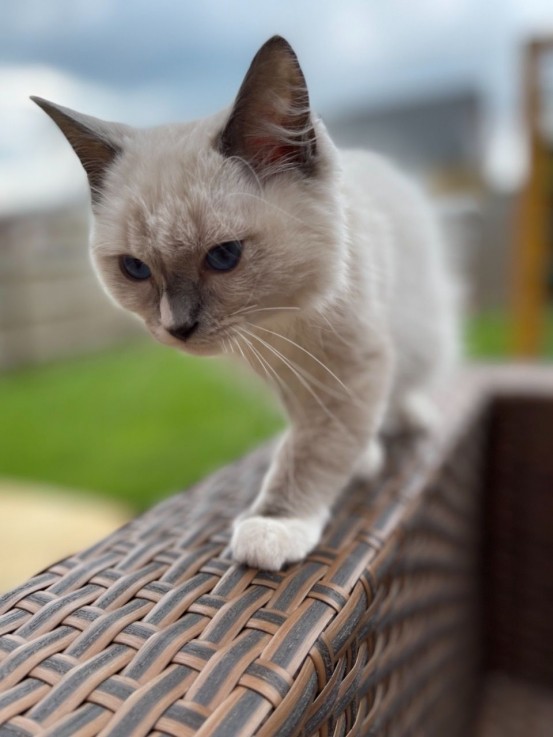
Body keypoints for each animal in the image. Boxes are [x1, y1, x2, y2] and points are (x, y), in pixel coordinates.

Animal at [32, 37, 460, 572]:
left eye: (224, 256)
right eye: (135, 269)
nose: (177, 327)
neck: (278, 325)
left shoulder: (352, 365)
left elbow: (317, 447)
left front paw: (275, 525)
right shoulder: (284, 375)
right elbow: (314, 433)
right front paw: (353, 463)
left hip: (423, 338)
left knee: (408, 387)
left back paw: (411, 419)